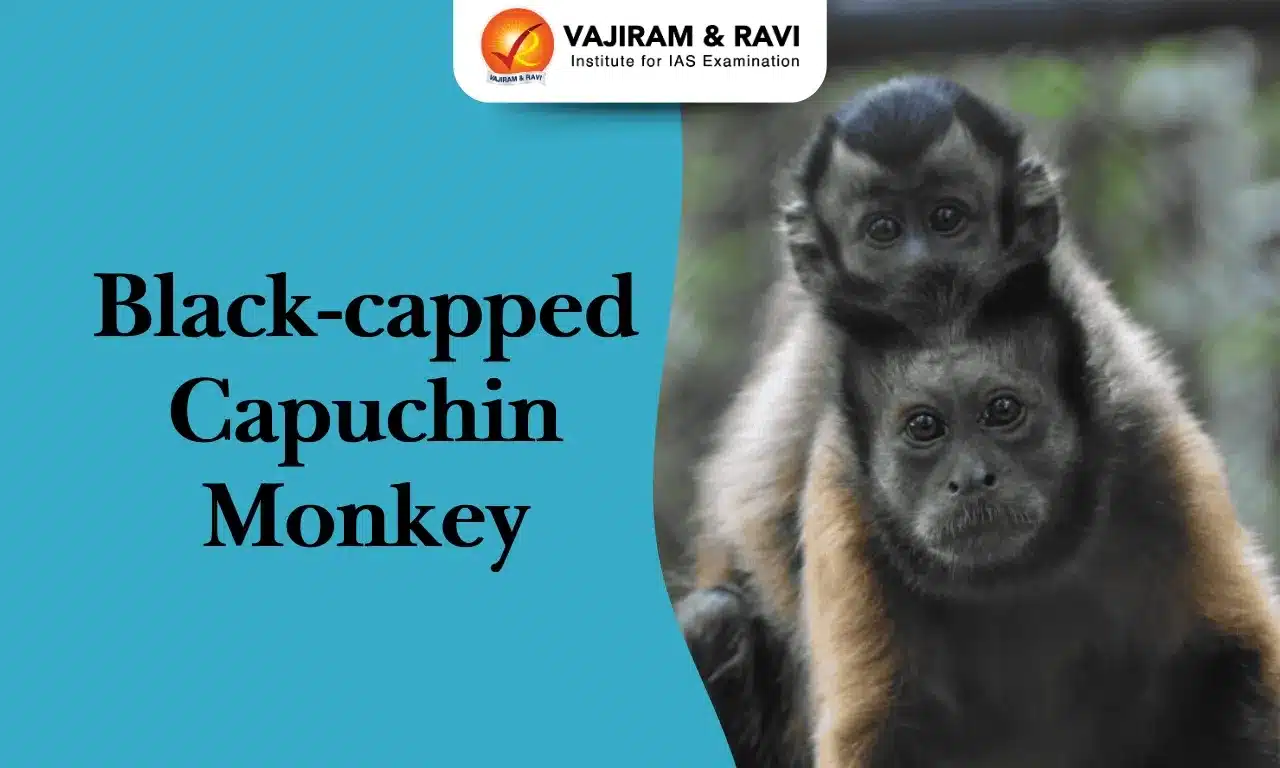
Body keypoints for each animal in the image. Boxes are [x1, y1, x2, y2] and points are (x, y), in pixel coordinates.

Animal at [673, 75, 1280, 767]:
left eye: (1003, 412)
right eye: (925, 428)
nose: (971, 479)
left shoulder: (1148, 438)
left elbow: (1236, 654)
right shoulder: (842, 500)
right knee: (712, 619)